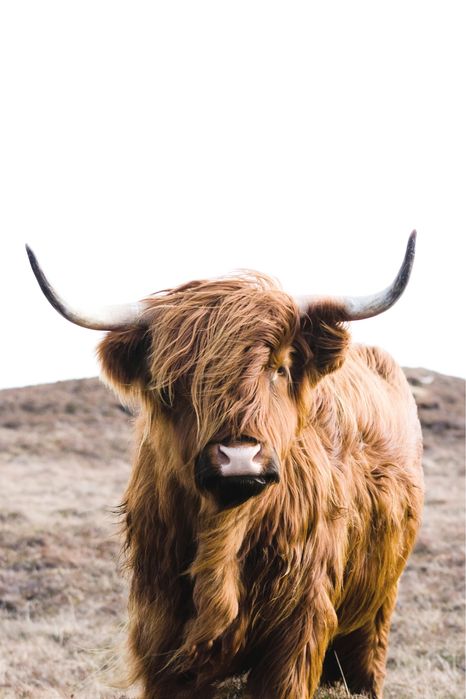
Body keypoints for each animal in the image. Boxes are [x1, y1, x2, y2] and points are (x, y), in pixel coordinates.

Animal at [27, 233, 423, 699]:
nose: (239, 458)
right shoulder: (161, 632)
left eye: (279, 368)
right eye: (173, 383)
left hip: (377, 605)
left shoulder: (298, 630)